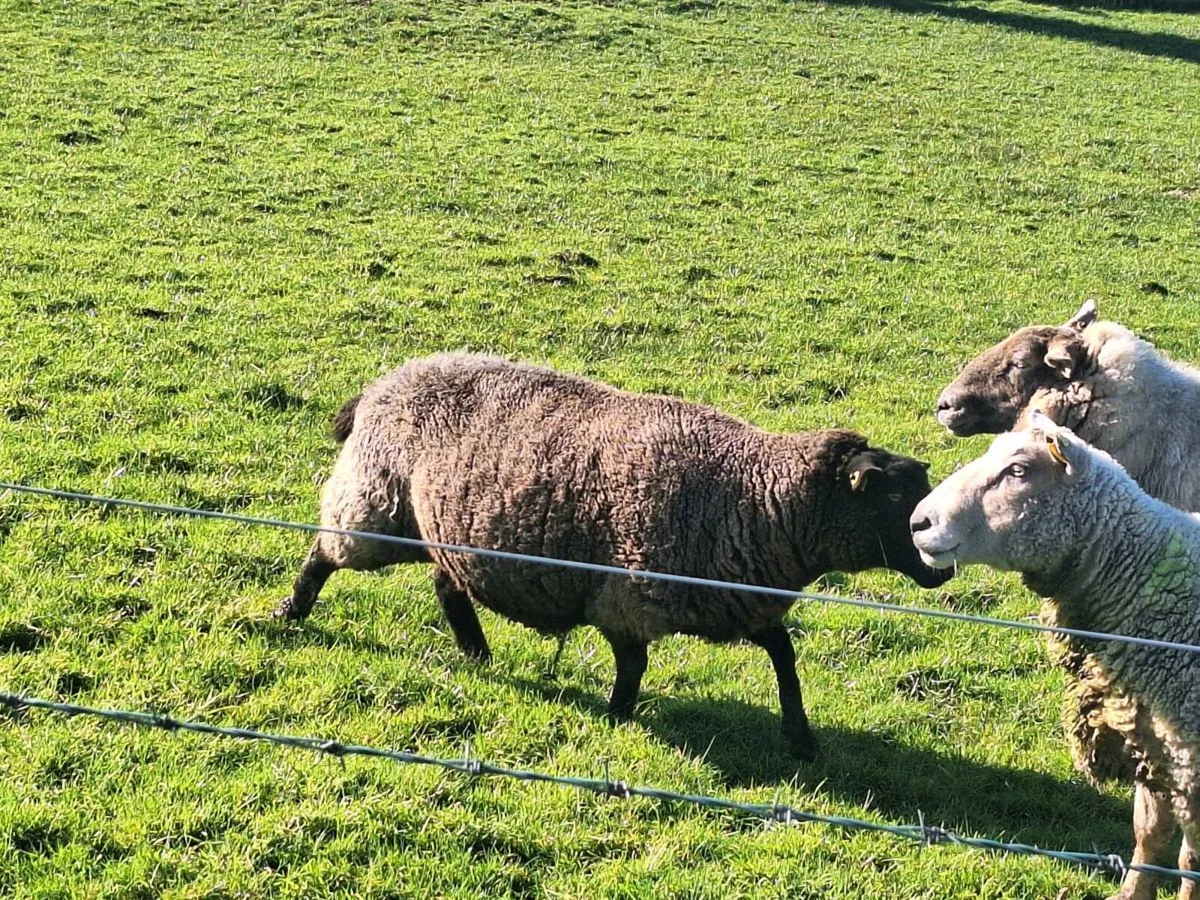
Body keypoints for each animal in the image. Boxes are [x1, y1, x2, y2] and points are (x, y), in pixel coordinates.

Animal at [279, 352, 952, 760]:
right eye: (896, 498)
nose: (941, 567)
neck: (755, 493)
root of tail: (383, 383)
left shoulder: (736, 598)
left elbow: (784, 656)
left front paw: (800, 736)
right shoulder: (628, 593)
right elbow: (634, 665)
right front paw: (619, 718)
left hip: (446, 528)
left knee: (448, 586)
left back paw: (476, 653)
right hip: (374, 501)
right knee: (325, 553)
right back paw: (290, 613)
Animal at [910, 413, 1200, 900]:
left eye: (1019, 471)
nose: (918, 522)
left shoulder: (1188, 756)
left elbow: (1190, 858)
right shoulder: (1153, 741)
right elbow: (1150, 835)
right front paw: (1130, 894)